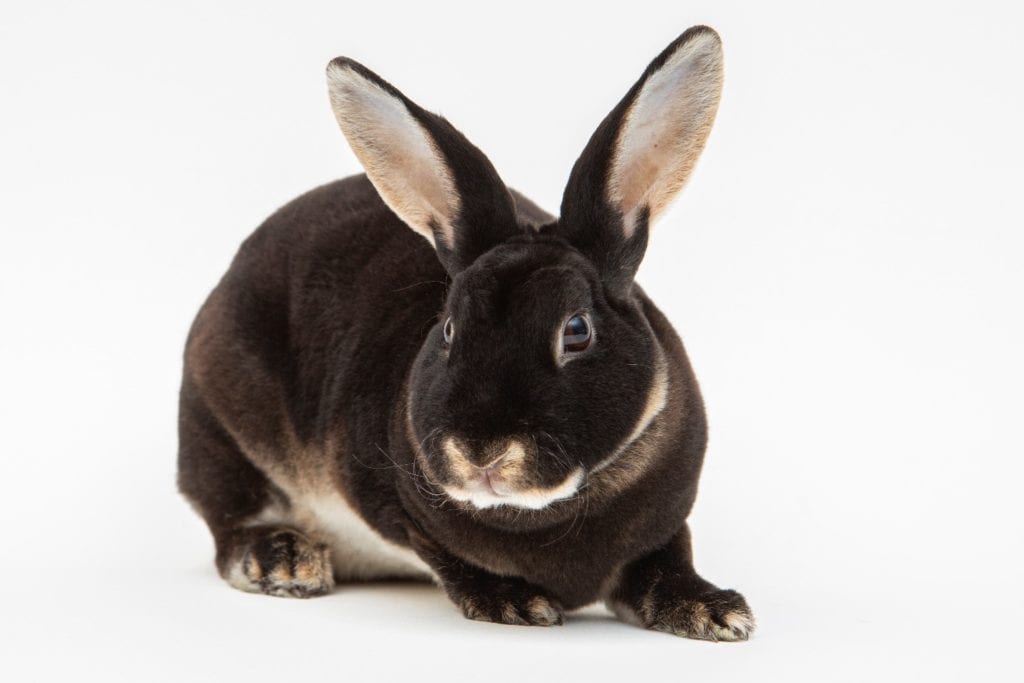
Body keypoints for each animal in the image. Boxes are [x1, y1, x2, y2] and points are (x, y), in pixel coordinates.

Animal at [177, 24, 754, 641]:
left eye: (576, 331)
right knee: (229, 519)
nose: (481, 451)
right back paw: (283, 560)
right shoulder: (399, 510)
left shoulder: (667, 525)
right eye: (450, 328)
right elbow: (447, 556)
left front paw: (715, 610)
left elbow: (669, 561)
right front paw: (513, 602)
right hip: (218, 434)